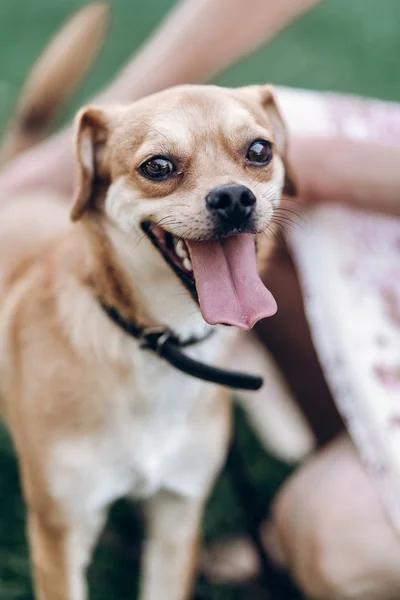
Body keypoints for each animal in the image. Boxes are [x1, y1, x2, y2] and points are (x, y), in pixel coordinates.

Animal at [0, 10, 298, 600]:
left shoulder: (178, 514)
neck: (159, 345)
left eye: (259, 151)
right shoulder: (60, 533)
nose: (234, 197)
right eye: (157, 166)